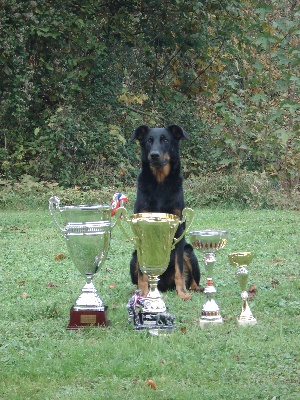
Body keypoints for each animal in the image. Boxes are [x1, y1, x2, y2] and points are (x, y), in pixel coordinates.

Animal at [130, 125, 200, 300]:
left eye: (166, 140)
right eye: (149, 140)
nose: (154, 155)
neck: (160, 183)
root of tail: (165, 285)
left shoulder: (179, 229)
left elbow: (179, 270)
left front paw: (183, 293)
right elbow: (142, 274)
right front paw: (143, 293)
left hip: (189, 251)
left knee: (192, 279)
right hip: (133, 258)